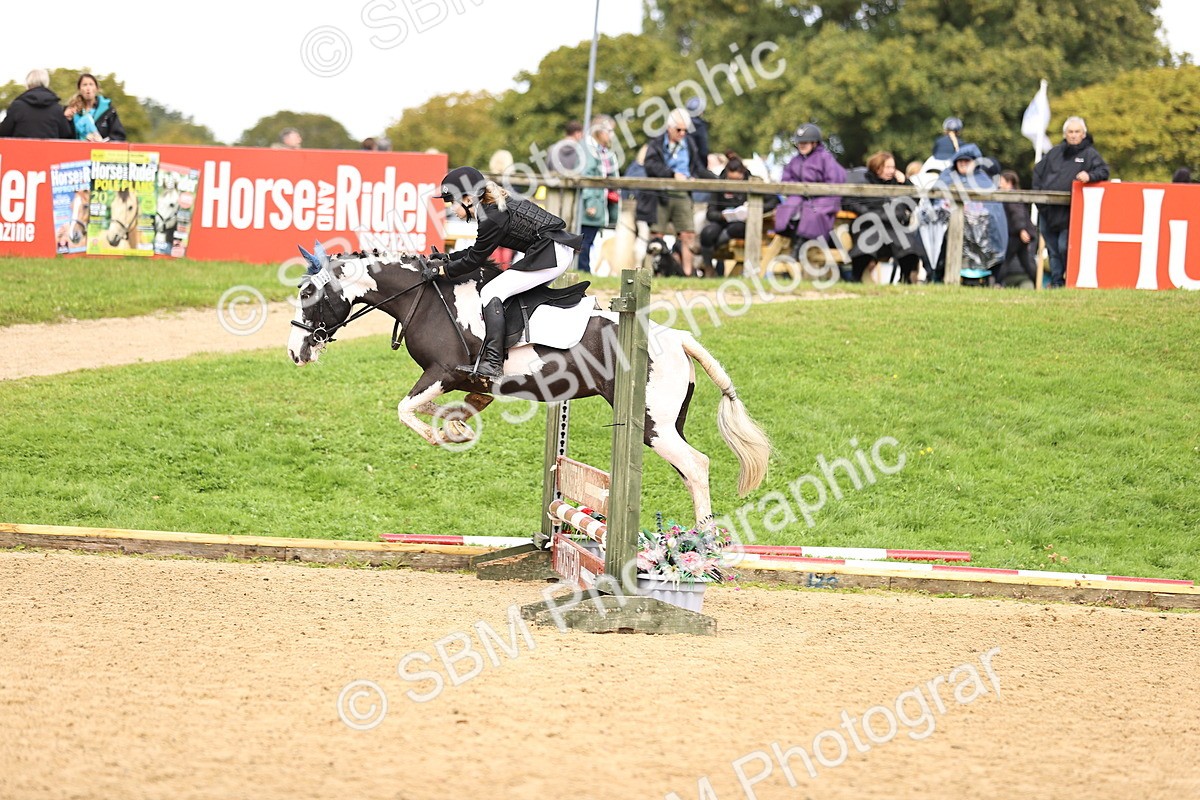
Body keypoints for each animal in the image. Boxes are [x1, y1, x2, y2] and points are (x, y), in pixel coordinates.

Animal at [286, 243, 772, 528]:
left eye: (309, 293)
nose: (295, 352)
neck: (427, 299)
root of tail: (678, 337)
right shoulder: (464, 381)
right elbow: (454, 406)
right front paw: (457, 428)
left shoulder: (441, 372)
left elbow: (406, 409)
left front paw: (442, 437)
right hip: (667, 423)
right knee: (690, 471)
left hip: (654, 425)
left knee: (697, 465)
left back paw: (703, 548)